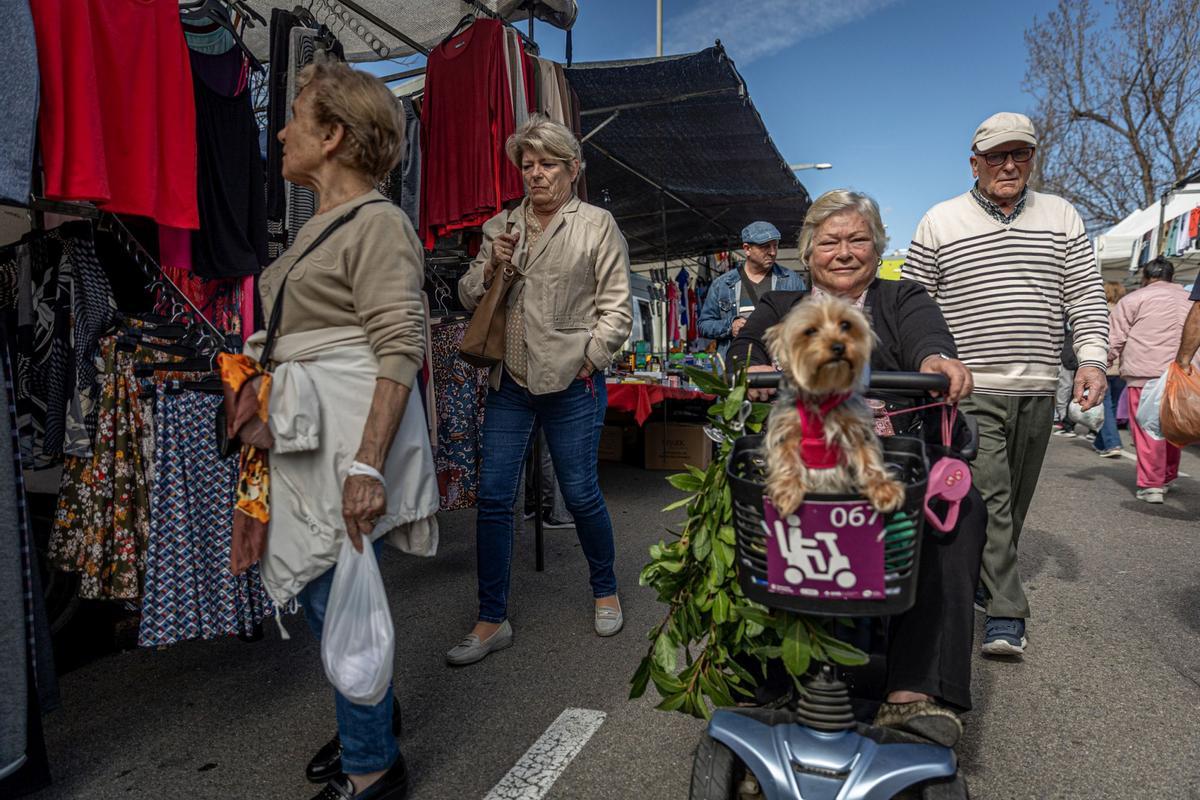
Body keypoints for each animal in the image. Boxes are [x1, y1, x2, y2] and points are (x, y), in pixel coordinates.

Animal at [763, 297, 902, 515]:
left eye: (846, 325)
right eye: (810, 331)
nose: (838, 346)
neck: (822, 394)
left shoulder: (855, 427)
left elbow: (868, 456)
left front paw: (884, 488)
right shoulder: (785, 428)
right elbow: (786, 457)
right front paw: (787, 490)